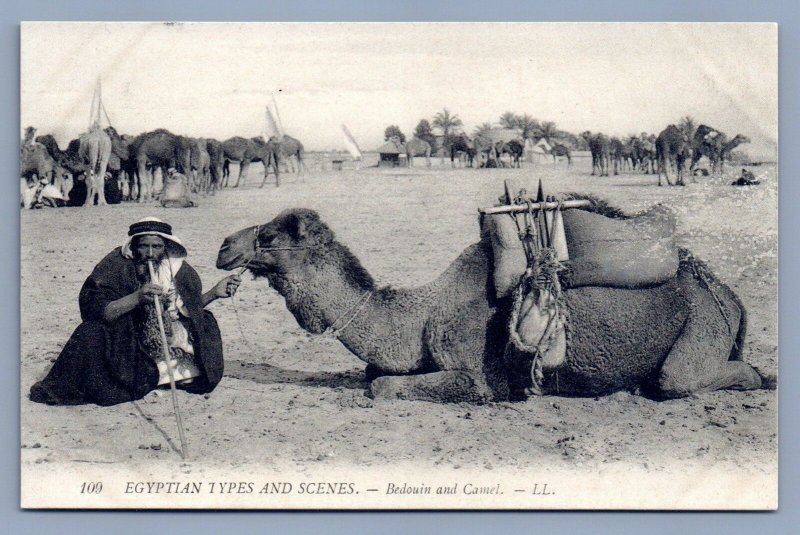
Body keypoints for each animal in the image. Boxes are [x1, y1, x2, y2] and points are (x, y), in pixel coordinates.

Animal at [216, 203, 764, 404]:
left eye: (269, 235)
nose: (223, 246)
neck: (422, 315)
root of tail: (727, 293)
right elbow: (374, 373)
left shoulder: (478, 375)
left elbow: (383, 386)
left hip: (701, 322)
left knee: (678, 379)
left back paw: (757, 376)